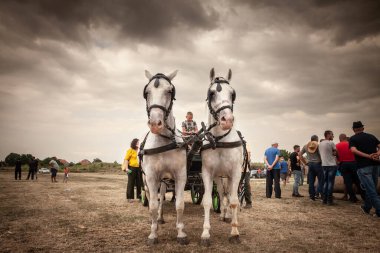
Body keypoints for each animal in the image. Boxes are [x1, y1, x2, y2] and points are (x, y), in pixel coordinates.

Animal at [140, 70, 188, 245]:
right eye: (147, 92)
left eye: (169, 91)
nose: (155, 123)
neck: (165, 141)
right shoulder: (152, 177)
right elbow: (153, 205)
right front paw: (153, 234)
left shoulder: (180, 175)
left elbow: (179, 204)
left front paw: (181, 233)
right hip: (147, 180)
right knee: (150, 198)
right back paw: (152, 219)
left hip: (163, 181)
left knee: (161, 197)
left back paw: (160, 218)